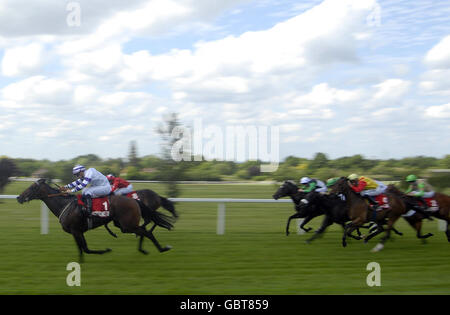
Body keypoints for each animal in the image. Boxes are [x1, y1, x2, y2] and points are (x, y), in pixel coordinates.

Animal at [16, 179, 174, 262]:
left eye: (32, 187)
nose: (19, 197)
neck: (64, 204)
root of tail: (135, 201)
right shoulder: (77, 231)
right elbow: (82, 248)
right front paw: (80, 263)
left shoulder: (76, 230)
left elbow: (85, 248)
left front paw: (105, 250)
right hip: (124, 225)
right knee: (144, 230)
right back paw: (147, 249)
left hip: (127, 224)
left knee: (146, 231)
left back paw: (161, 248)